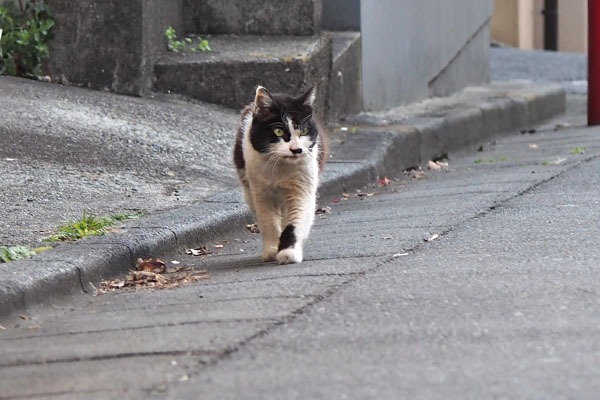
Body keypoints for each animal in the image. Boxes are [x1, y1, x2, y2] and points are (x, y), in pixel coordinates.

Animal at [234, 86, 328, 264]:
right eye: (278, 131)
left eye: (304, 131)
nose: (296, 149)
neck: (281, 170)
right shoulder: (261, 192)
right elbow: (268, 222)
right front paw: (272, 250)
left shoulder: (302, 190)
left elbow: (294, 223)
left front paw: (288, 253)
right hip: (248, 189)